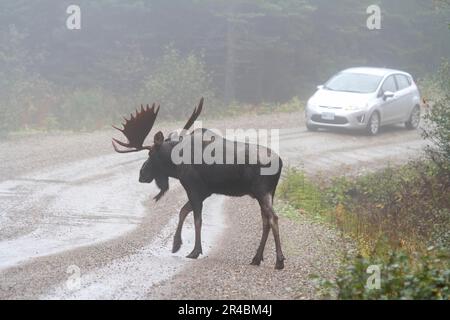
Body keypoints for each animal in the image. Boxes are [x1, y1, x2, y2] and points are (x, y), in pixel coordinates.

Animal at [114, 98, 286, 270]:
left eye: (151, 153)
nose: (141, 174)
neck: (176, 165)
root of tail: (280, 162)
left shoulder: (193, 188)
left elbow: (197, 220)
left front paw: (194, 251)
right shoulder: (204, 192)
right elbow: (183, 211)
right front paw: (176, 244)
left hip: (261, 191)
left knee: (273, 218)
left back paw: (279, 260)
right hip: (268, 193)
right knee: (265, 220)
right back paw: (256, 258)